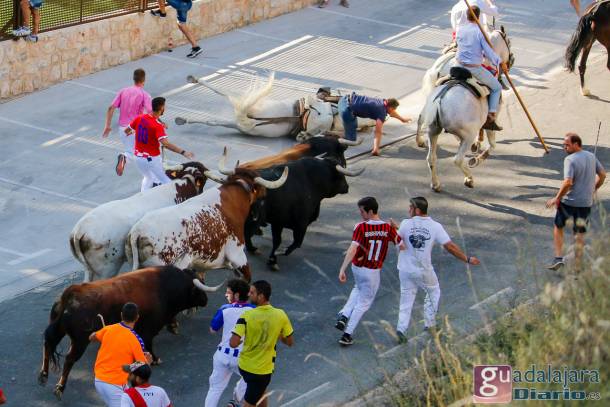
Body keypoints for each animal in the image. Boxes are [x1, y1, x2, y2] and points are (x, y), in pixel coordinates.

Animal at [416, 27, 510, 193]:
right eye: (508, 42)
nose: (510, 62)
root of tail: (440, 101)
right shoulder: (492, 118)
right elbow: (492, 143)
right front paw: (478, 158)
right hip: (467, 135)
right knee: (458, 159)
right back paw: (469, 179)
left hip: (433, 130)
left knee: (431, 157)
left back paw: (435, 183)